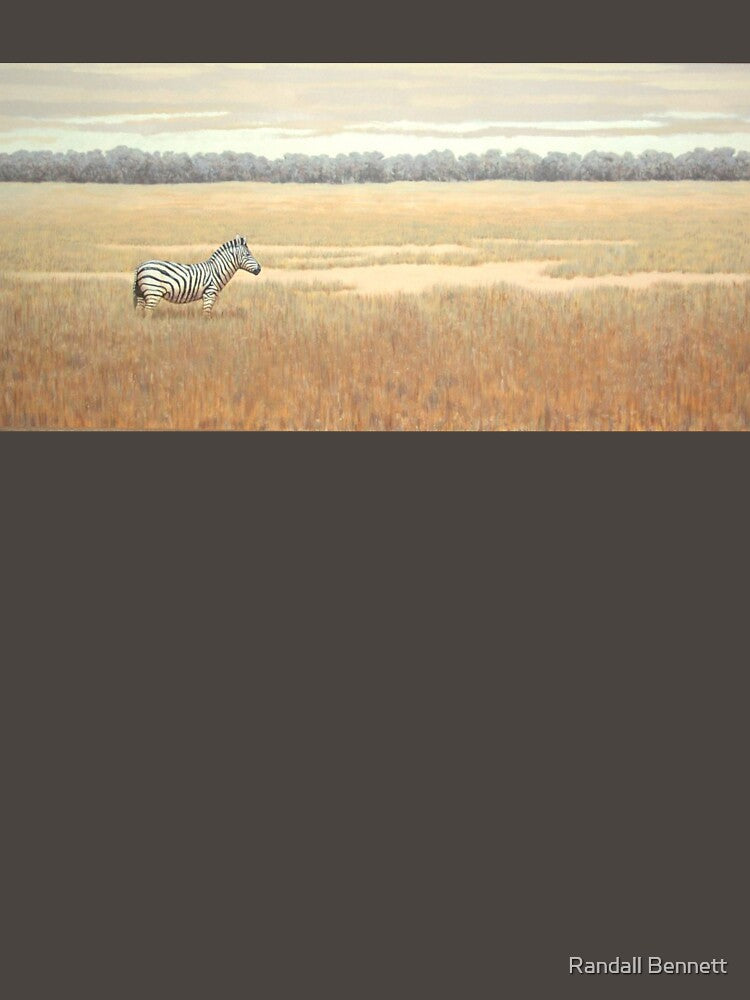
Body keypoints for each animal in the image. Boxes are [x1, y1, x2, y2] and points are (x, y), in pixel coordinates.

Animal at [133, 235, 261, 317]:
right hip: (153, 292)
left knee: (139, 312)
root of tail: (140, 266)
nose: (259, 269)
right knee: (148, 313)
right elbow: (206, 315)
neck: (217, 270)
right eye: (248, 254)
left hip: (141, 293)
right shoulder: (209, 294)